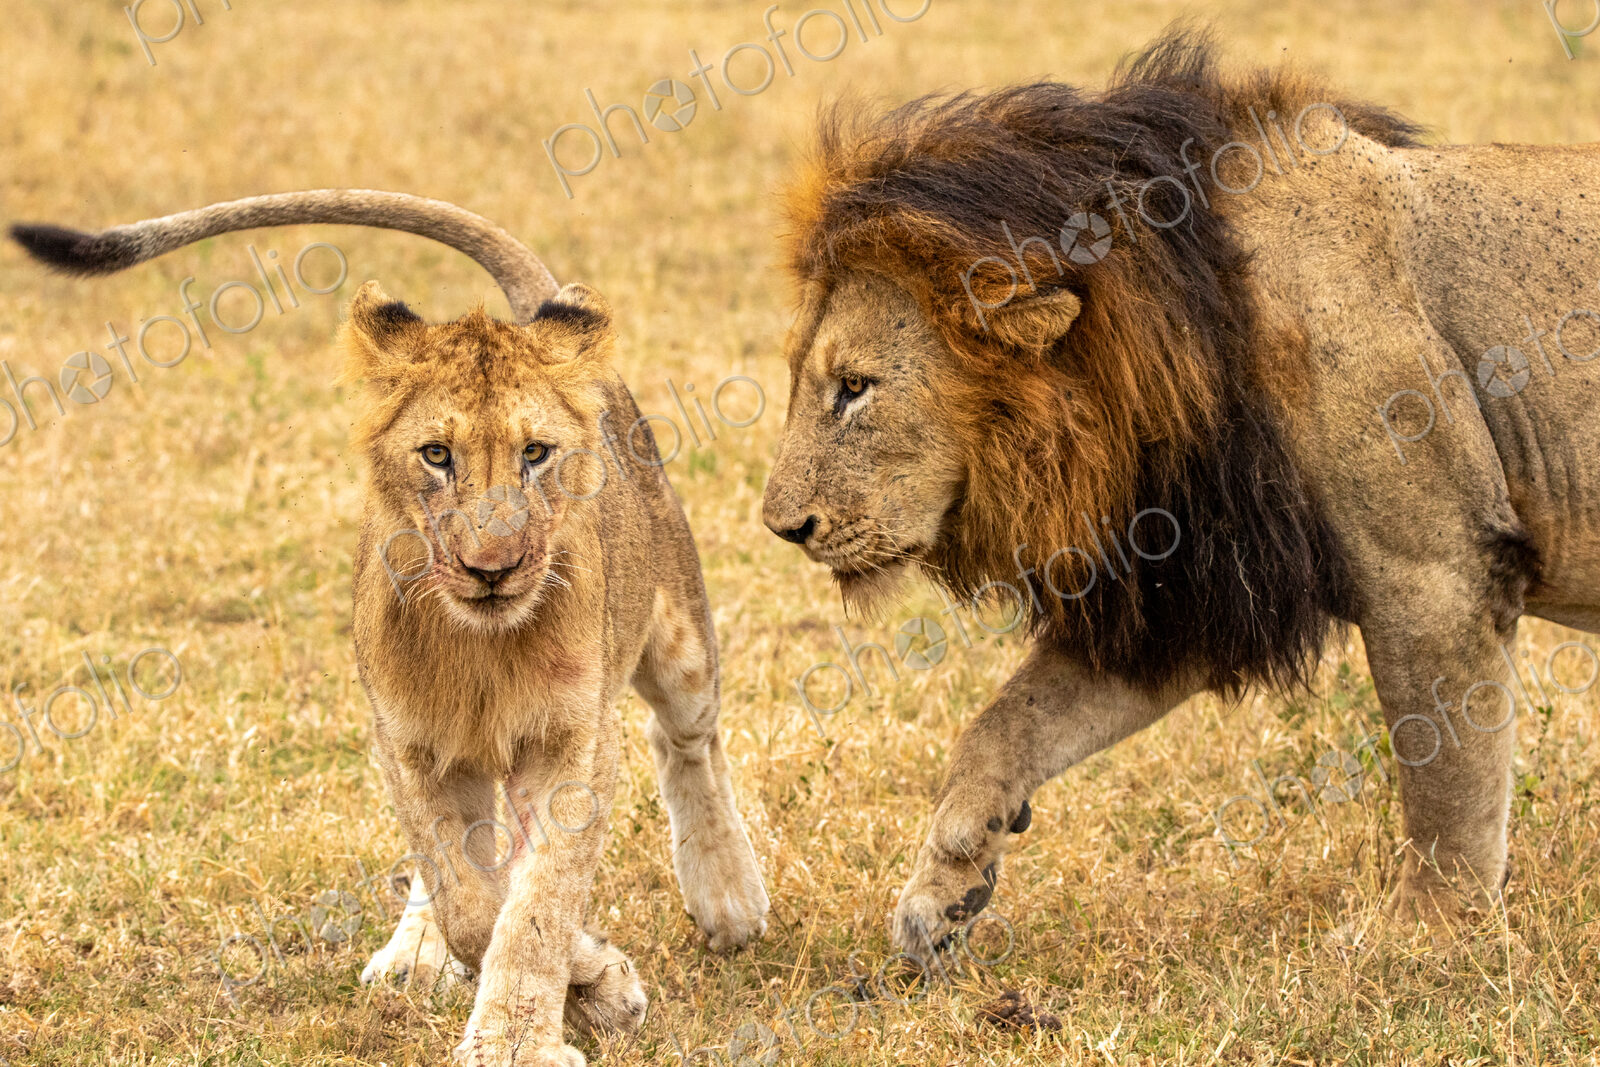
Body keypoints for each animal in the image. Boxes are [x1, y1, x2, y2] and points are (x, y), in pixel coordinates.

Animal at [12, 189, 770, 1065]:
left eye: (536, 453)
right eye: (437, 454)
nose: (491, 567)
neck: (482, 648)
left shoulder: (572, 739)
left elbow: (536, 902)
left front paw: (523, 1032)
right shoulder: (408, 740)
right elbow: (471, 898)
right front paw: (593, 978)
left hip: (679, 638)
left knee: (684, 738)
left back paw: (729, 897)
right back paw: (416, 951)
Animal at [762, 28, 1600, 956]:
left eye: (855, 387)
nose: (782, 526)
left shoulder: (1437, 572)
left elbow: (1445, 774)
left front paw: (1424, 934)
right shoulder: (1190, 582)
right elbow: (1005, 725)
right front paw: (942, 889)